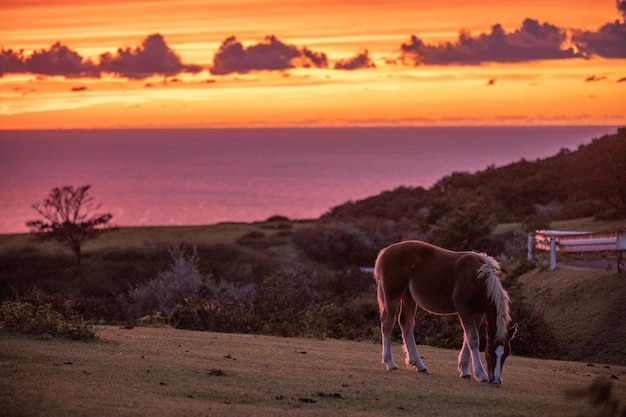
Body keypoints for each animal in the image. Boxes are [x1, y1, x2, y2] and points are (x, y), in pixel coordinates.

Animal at [372, 239, 516, 386]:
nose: (496, 380)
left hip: (409, 297)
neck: (478, 278)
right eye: (490, 351)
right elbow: (473, 339)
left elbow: (467, 338)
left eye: (507, 353)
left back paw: (419, 364)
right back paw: (390, 362)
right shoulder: (464, 310)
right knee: (388, 323)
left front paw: (464, 370)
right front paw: (480, 374)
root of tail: (385, 251)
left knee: (406, 323)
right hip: (393, 296)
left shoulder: (478, 314)